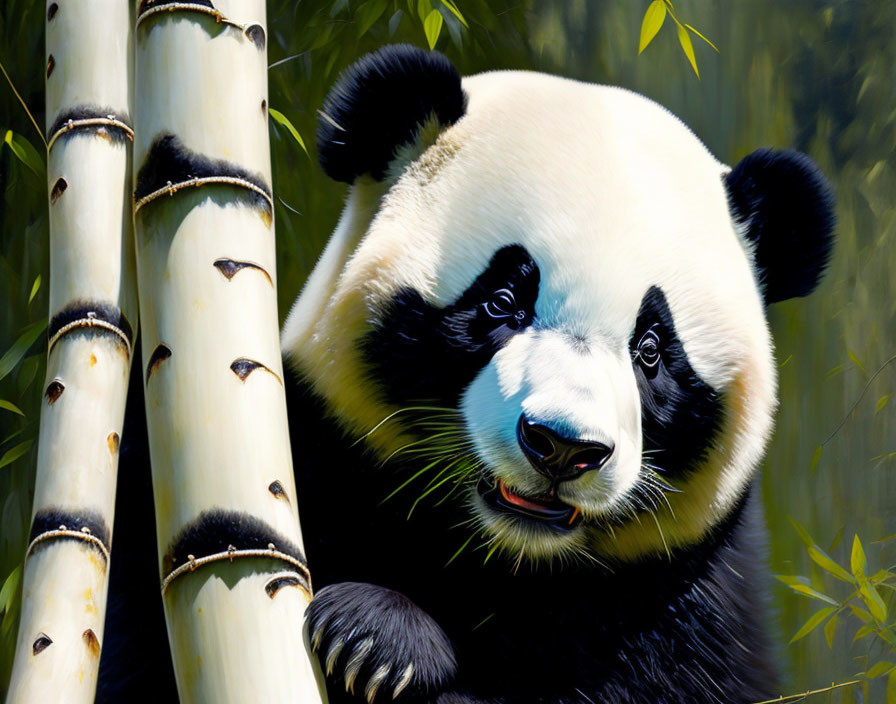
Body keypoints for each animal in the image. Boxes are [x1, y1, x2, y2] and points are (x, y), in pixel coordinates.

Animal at [280, 45, 832, 704]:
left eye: (651, 349)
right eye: (502, 303)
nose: (564, 447)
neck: (509, 556)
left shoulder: (687, 603)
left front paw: (381, 641)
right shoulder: (318, 449)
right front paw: (375, 635)